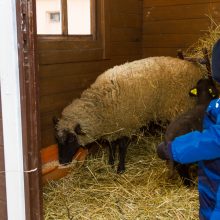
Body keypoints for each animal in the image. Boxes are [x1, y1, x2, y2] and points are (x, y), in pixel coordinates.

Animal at [53, 55, 205, 173]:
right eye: (57, 139)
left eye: (71, 139)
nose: (62, 162)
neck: (100, 104)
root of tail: (195, 68)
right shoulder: (113, 126)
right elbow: (111, 145)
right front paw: (110, 162)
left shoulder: (126, 125)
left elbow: (122, 147)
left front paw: (120, 168)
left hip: (181, 106)